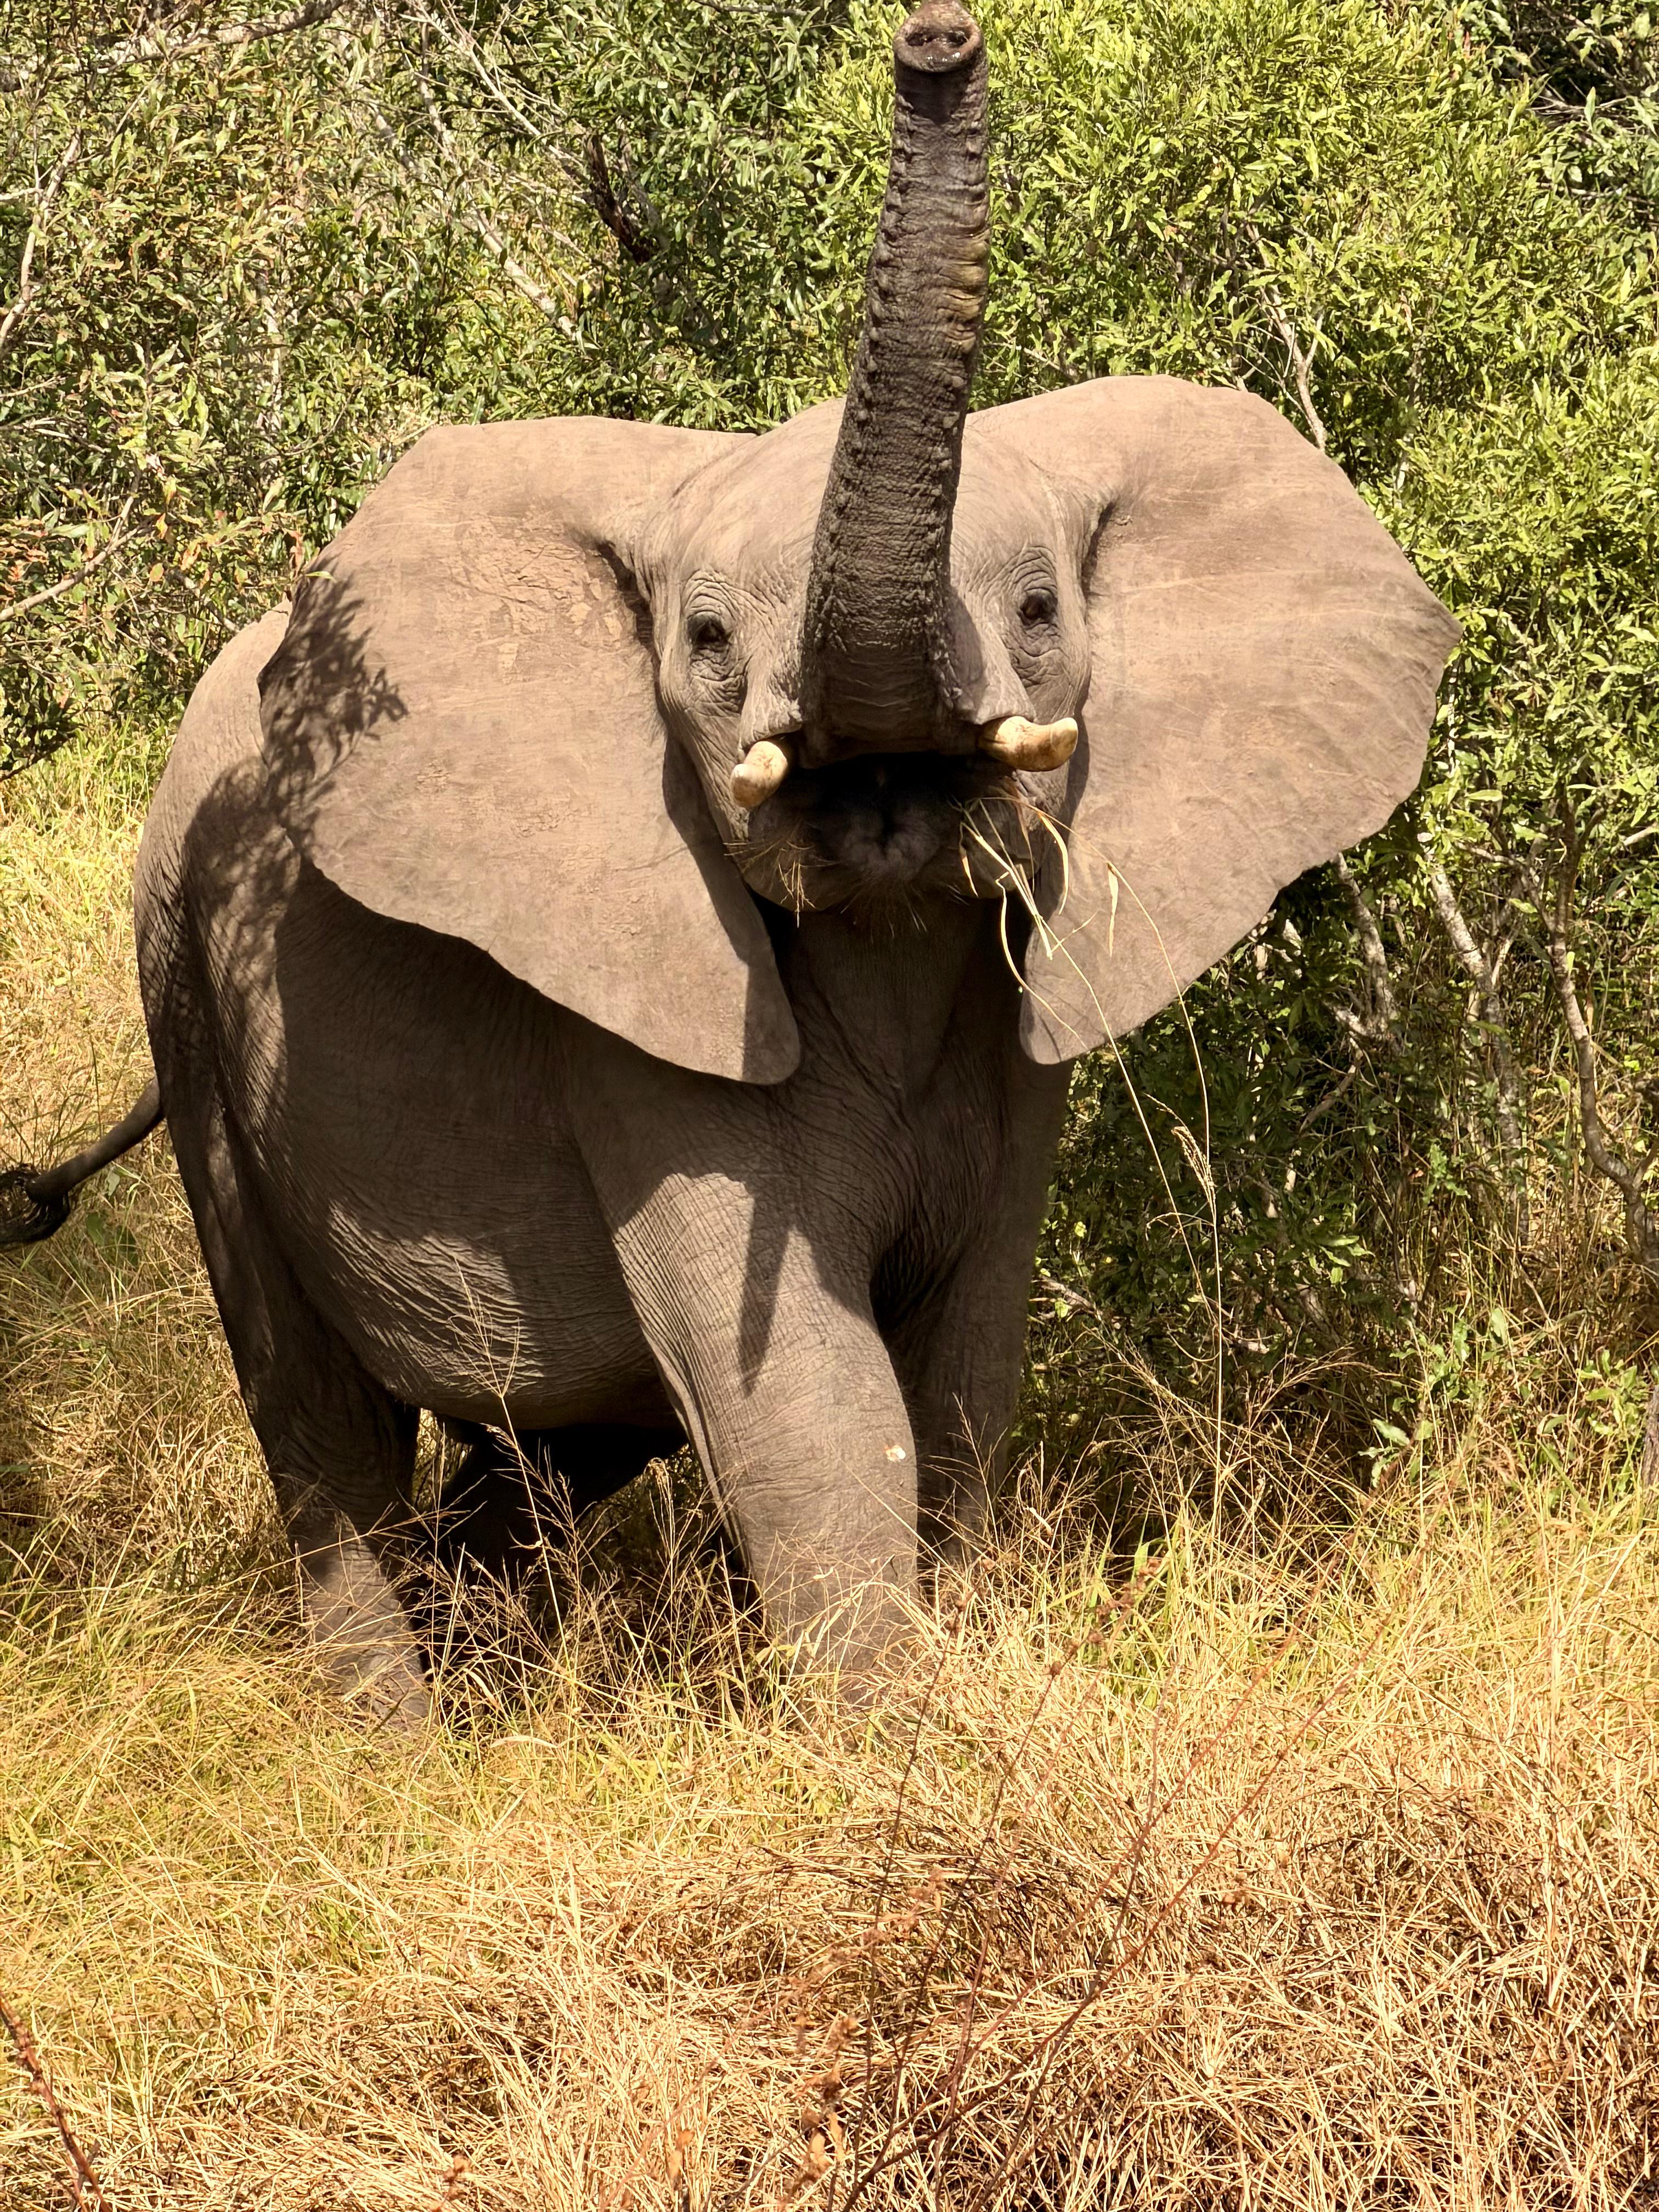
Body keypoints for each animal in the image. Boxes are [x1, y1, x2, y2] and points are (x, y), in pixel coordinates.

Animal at [2, 2, 1457, 1723]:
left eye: (1040, 610)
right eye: (702, 640)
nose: (938, 40)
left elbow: (965, 1359)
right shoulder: (630, 1007)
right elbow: (803, 1388)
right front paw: (899, 1745)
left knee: (540, 1451)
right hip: (186, 984)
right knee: (322, 1430)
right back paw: (399, 1749)